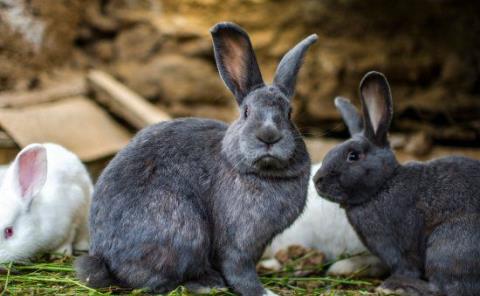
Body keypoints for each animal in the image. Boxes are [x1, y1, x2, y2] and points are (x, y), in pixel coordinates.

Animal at [75, 22, 316, 296]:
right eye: (246, 112)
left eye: (289, 113)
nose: (269, 136)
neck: (262, 173)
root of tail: (104, 259)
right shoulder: (238, 243)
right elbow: (240, 272)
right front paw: (263, 292)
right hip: (185, 231)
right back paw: (206, 284)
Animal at [316, 71, 480, 296]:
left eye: (353, 156)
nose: (317, 181)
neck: (383, 185)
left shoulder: (398, 249)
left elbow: (406, 267)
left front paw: (391, 283)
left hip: (447, 244)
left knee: (443, 287)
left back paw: (396, 286)